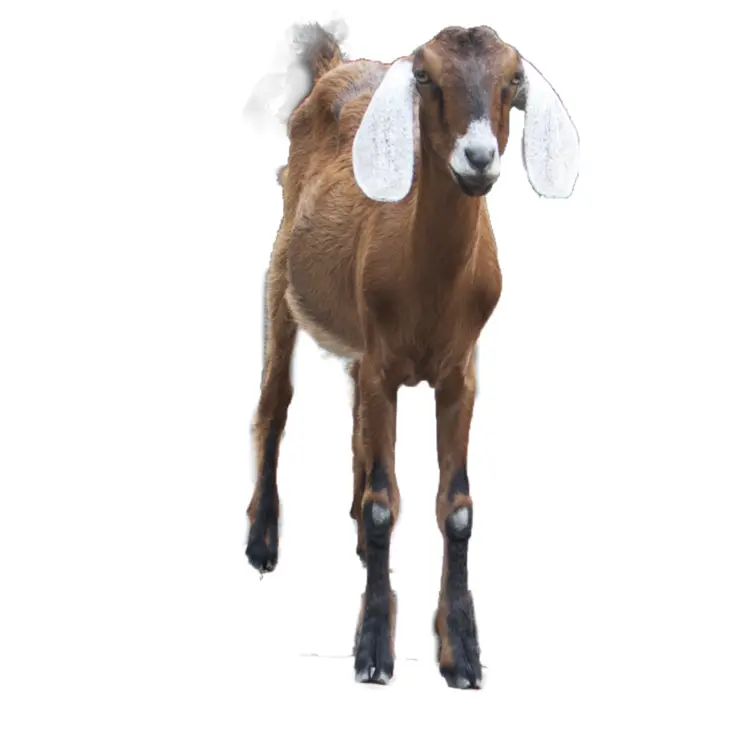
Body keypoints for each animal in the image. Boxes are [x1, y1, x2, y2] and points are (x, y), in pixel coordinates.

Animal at [245, 21, 579, 689]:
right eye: (425, 76)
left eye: (512, 80)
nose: (478, 158)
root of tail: (335, 65)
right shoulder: (383, 365)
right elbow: (383, 506)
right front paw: (374, 650)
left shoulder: (459, 375)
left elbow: (457, 509)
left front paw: (464, 654)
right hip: (280, 273)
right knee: (276, 403)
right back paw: (263, 542)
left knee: (353, 420)